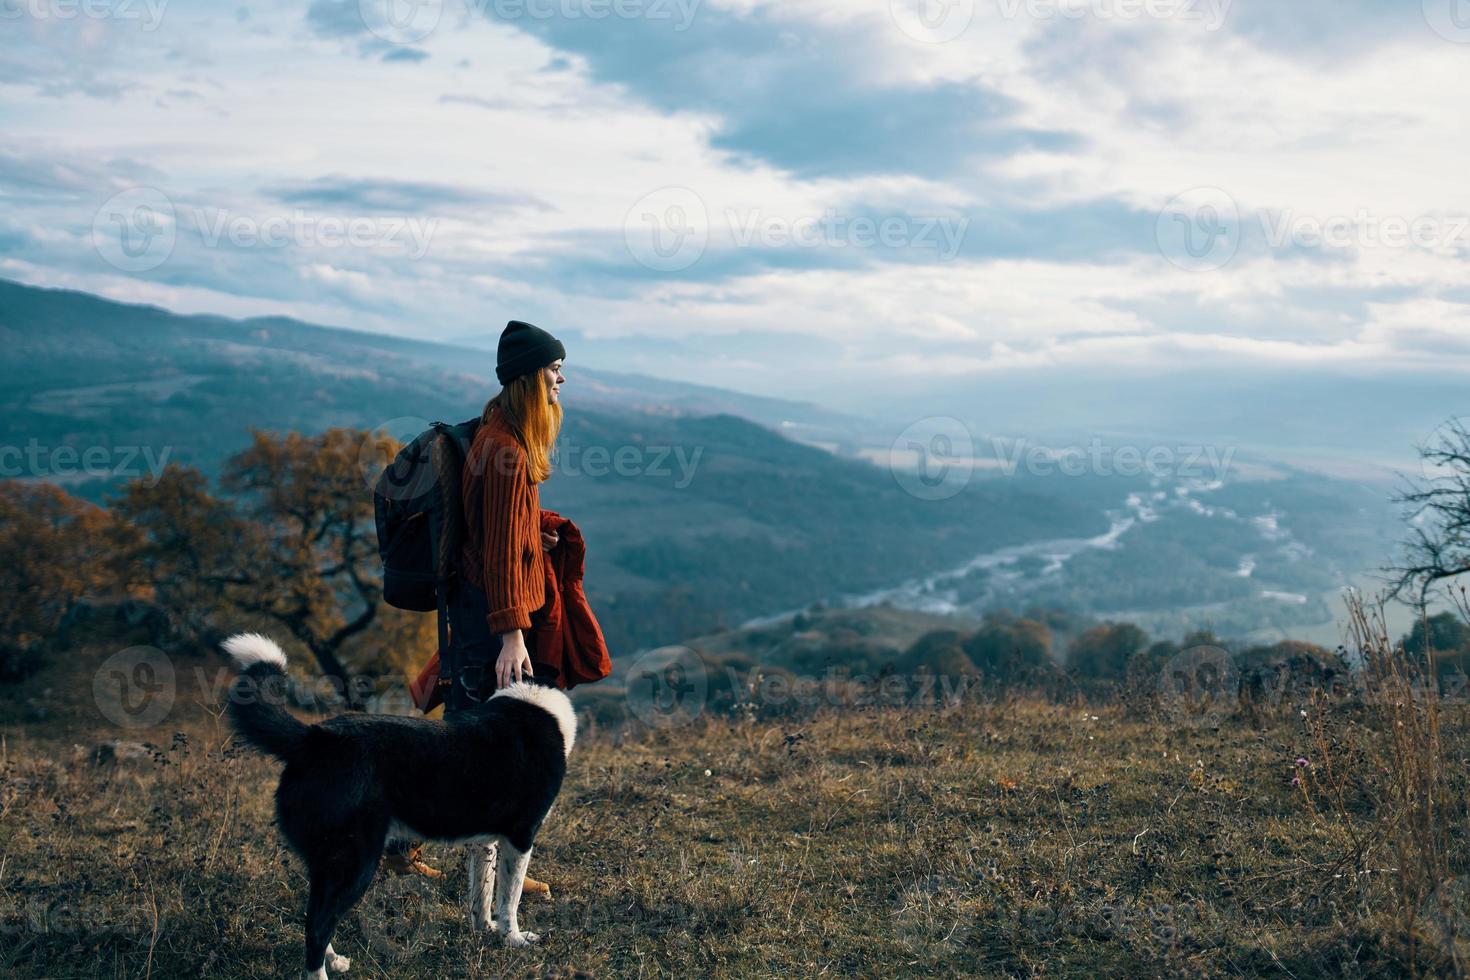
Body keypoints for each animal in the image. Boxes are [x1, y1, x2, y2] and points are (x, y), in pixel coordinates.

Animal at [220, 631, 576, 975]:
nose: (458, 672)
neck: (529, 692)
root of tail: (314, 738)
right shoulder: (521, 836)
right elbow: (509, 899)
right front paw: (514, 939)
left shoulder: (485, 841)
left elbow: (482, 892)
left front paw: (485, 929)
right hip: (356, 860)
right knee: (317, 927)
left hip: (328, 861)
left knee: (315, 916)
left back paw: (334, 960)